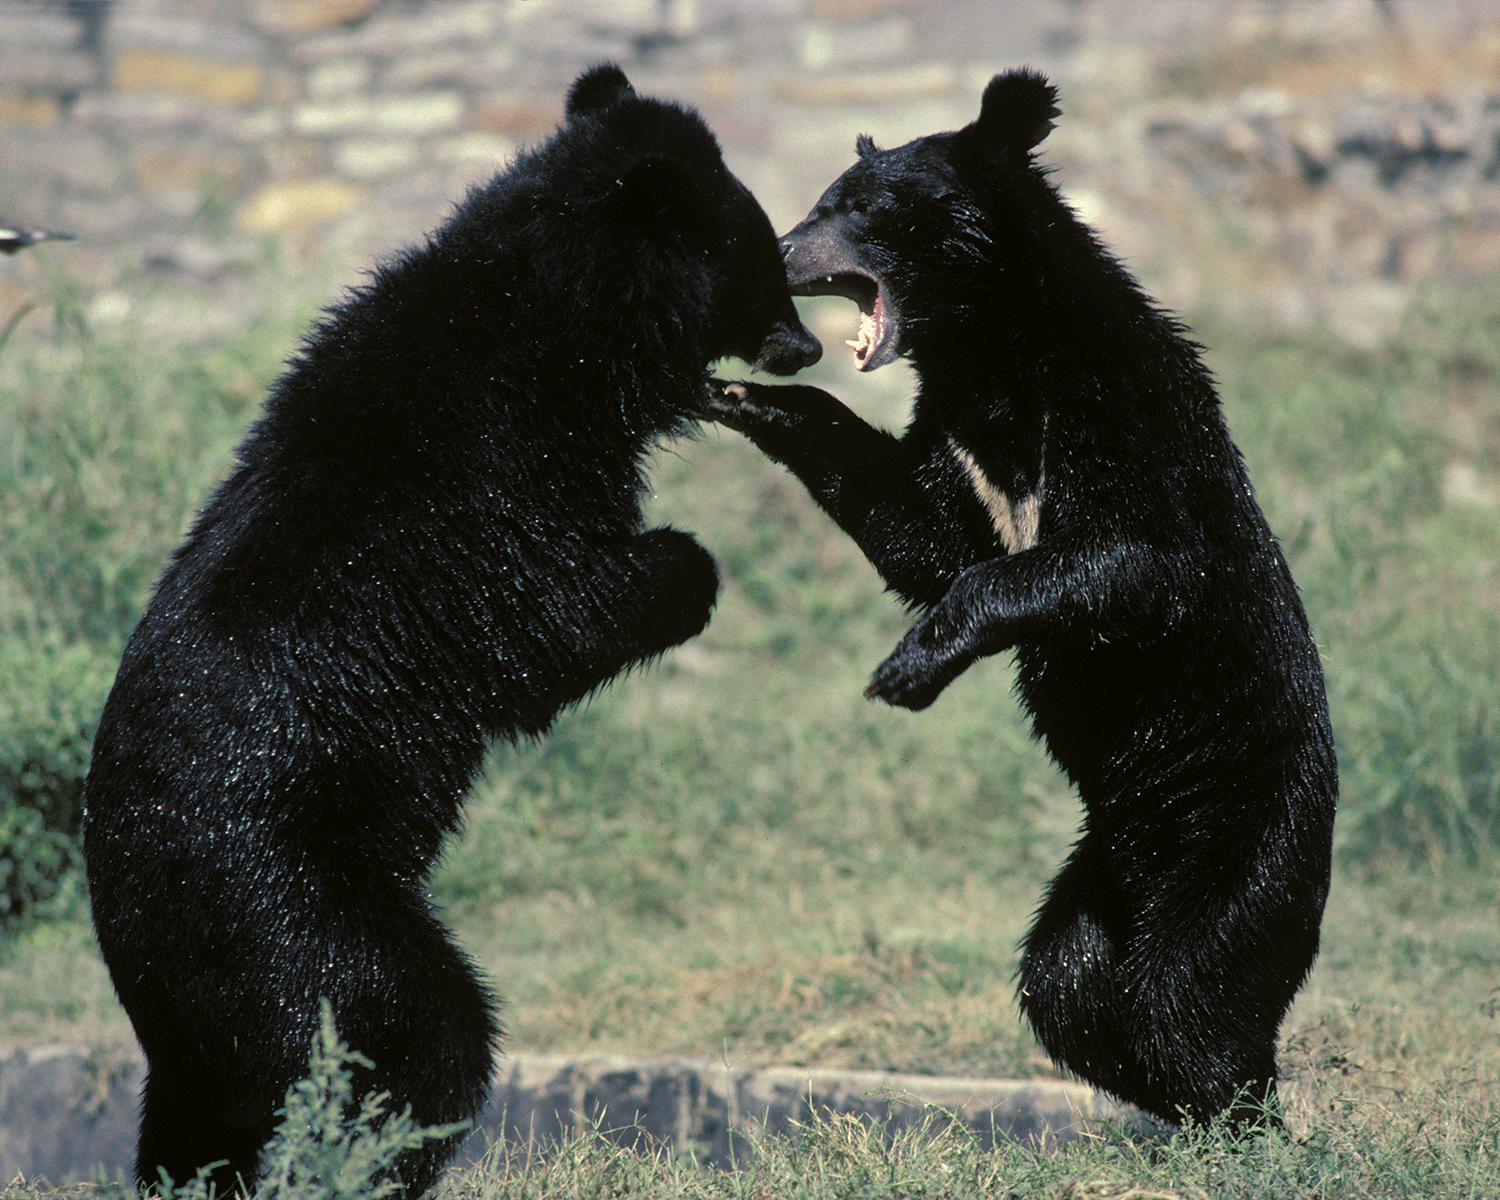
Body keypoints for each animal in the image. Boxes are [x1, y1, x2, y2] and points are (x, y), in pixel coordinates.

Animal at [83, 67, 822, 1200]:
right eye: (764, 264)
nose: (810, 344)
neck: (571, 320)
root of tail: (127, 915)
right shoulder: (492, 478)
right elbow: (551, 609)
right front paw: (682, 569)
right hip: (292, 908)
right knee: (414, 1033)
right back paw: (376, 1162)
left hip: (218, 993)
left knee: (203, 1121)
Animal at [708, 70, 1344, 1128]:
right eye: (825, 200)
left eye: (859, 207)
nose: (780, 252)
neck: (993, 352)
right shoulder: (960, 433)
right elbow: (922, 531)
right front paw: (745, 397)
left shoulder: (1117, 413)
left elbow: (1132, 562)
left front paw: (905, 670)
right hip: (1102, 878)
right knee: (1069, 985)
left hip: (1245, 839)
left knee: (1186, 994)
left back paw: (1238, 1123)